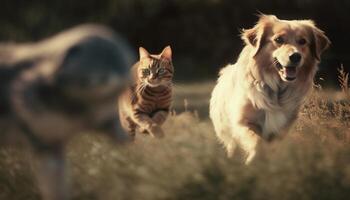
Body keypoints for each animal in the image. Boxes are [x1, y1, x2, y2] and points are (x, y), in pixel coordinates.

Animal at [209, 14, 330, 164]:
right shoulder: (244, 122)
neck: (277, 88)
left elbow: (271, 147)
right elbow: (257, 142)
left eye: (302, 41)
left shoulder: (282, 129)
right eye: (279, 39)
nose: (296, 56)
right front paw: (253, 161)